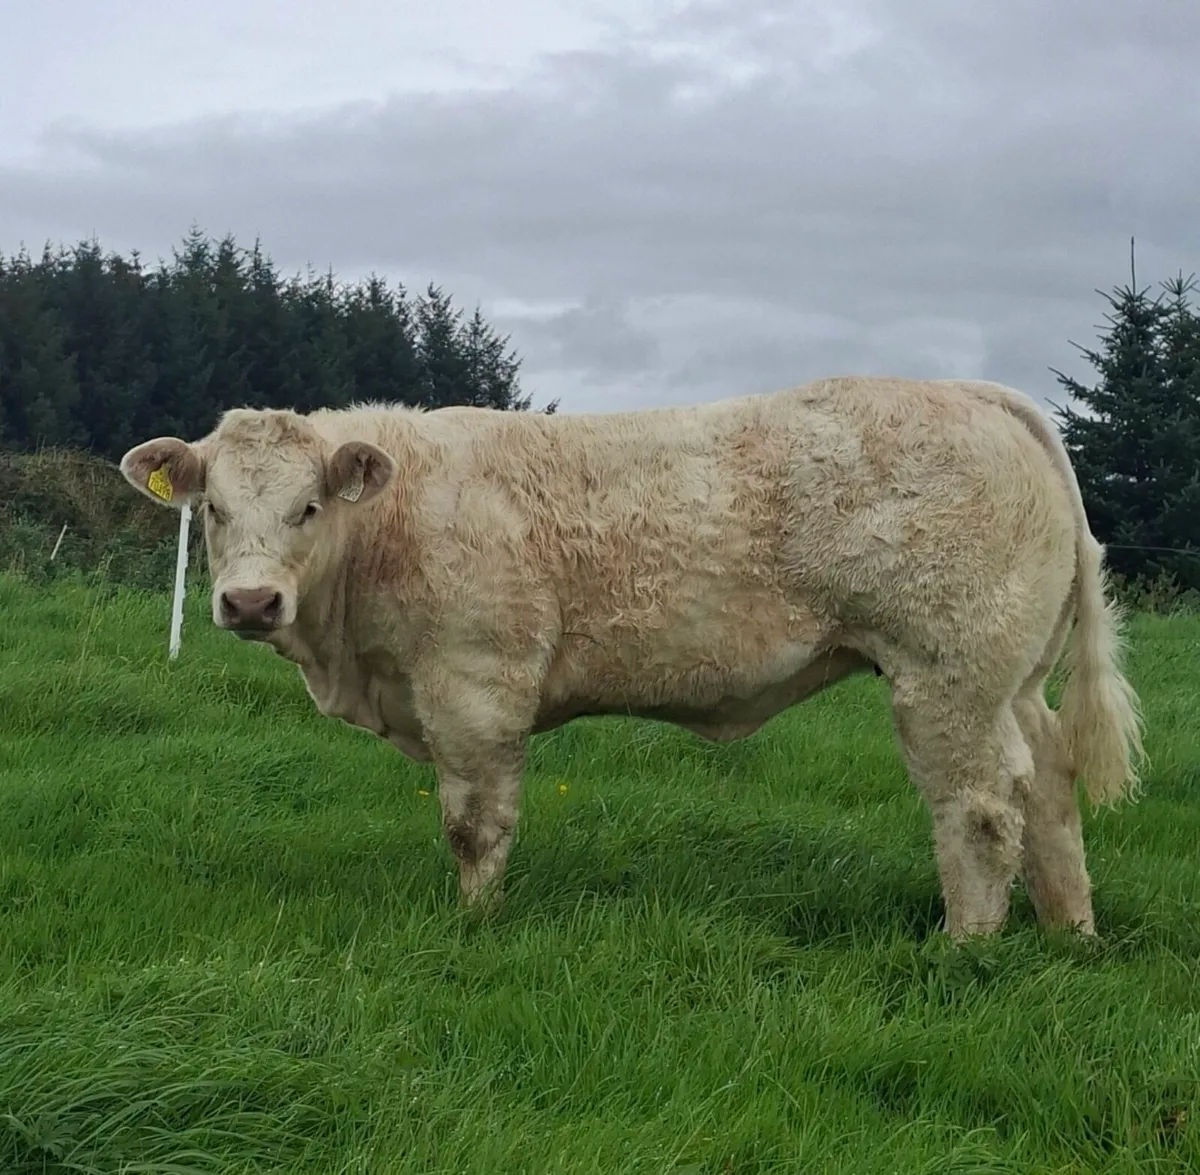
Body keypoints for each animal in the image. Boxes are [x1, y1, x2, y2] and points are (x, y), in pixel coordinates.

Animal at [119, 376, 1145, 940]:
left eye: (308, 508)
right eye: (213, 510)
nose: (251, 602)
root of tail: (976, 393)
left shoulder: (475, 684)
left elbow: (475, 824)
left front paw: (475, 925)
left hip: (947, 674)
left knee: (981, 809)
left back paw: (965, 948)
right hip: (1012, 680)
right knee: (1049, 789)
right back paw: (1071, 934)